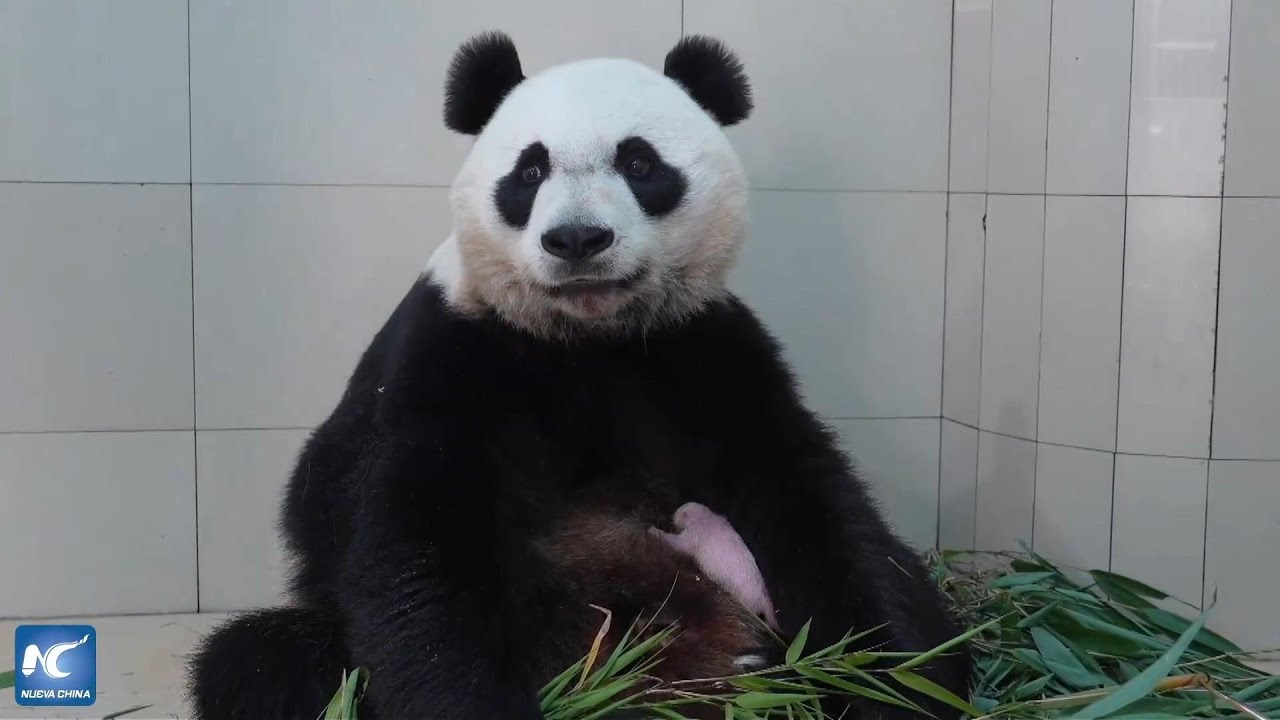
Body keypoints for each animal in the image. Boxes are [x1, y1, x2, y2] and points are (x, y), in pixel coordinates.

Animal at [187, 32, 970, 720]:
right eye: (529, 171)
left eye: (640, 163)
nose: (577, 239)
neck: (591, 336)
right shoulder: (455, 351)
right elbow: (418, 548)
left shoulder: (703, 350)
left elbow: (812, 505)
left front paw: (892, 685)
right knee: (265, 662)